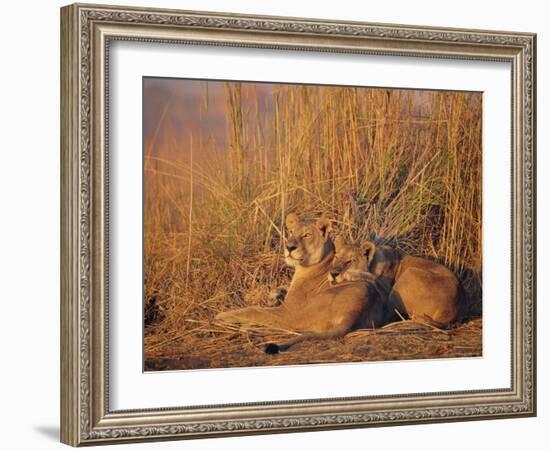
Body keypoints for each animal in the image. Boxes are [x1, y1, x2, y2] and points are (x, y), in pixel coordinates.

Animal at [216, 213, 392, 354]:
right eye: (291, 232)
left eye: (307, 235)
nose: (289, 247)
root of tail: (355, 311)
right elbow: (282, 289)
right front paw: (274, 295)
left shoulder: (287, 310)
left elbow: (254, 310)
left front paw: (222, 316)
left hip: (296, 315)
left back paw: (245, 327)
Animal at [330, 237, 464, 328]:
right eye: (336, 257)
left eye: (350, 261)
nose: (333, 273)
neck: (373, 264)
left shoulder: (385, 291)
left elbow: (372, 278)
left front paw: (349, 275)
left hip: (408, 275)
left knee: (388, 316)